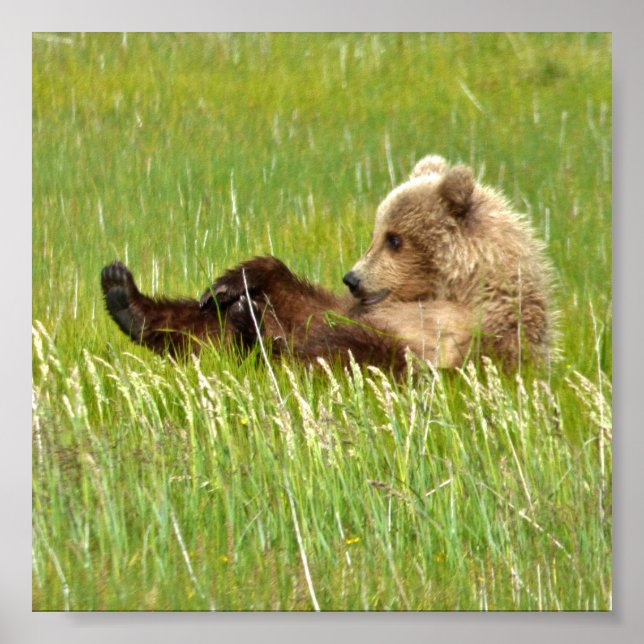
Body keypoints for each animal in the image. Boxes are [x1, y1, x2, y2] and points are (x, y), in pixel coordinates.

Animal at [101, 155, 553, 374]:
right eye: (376, 232)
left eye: (394, 239)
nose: (352, 278)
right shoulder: (363, 307)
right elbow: (306, 300)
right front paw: (236, 280)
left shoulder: (468, 338)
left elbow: (364, 354)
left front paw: (257, 322)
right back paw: (124, 295)